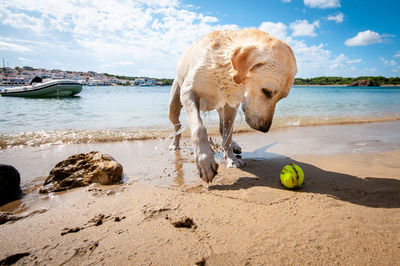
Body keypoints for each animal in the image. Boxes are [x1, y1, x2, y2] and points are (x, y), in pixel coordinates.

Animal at [167, 28, 296, 183]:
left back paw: (233, 146)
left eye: (281, 98)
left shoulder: (230, 106)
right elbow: (199, 128)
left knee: (223, 130)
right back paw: (175, 145)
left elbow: (227, 135)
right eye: (267, 92)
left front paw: (231, 159)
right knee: (177, 126)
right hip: (174, 105)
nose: (265, 129)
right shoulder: (188, 93)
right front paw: (205, 160)